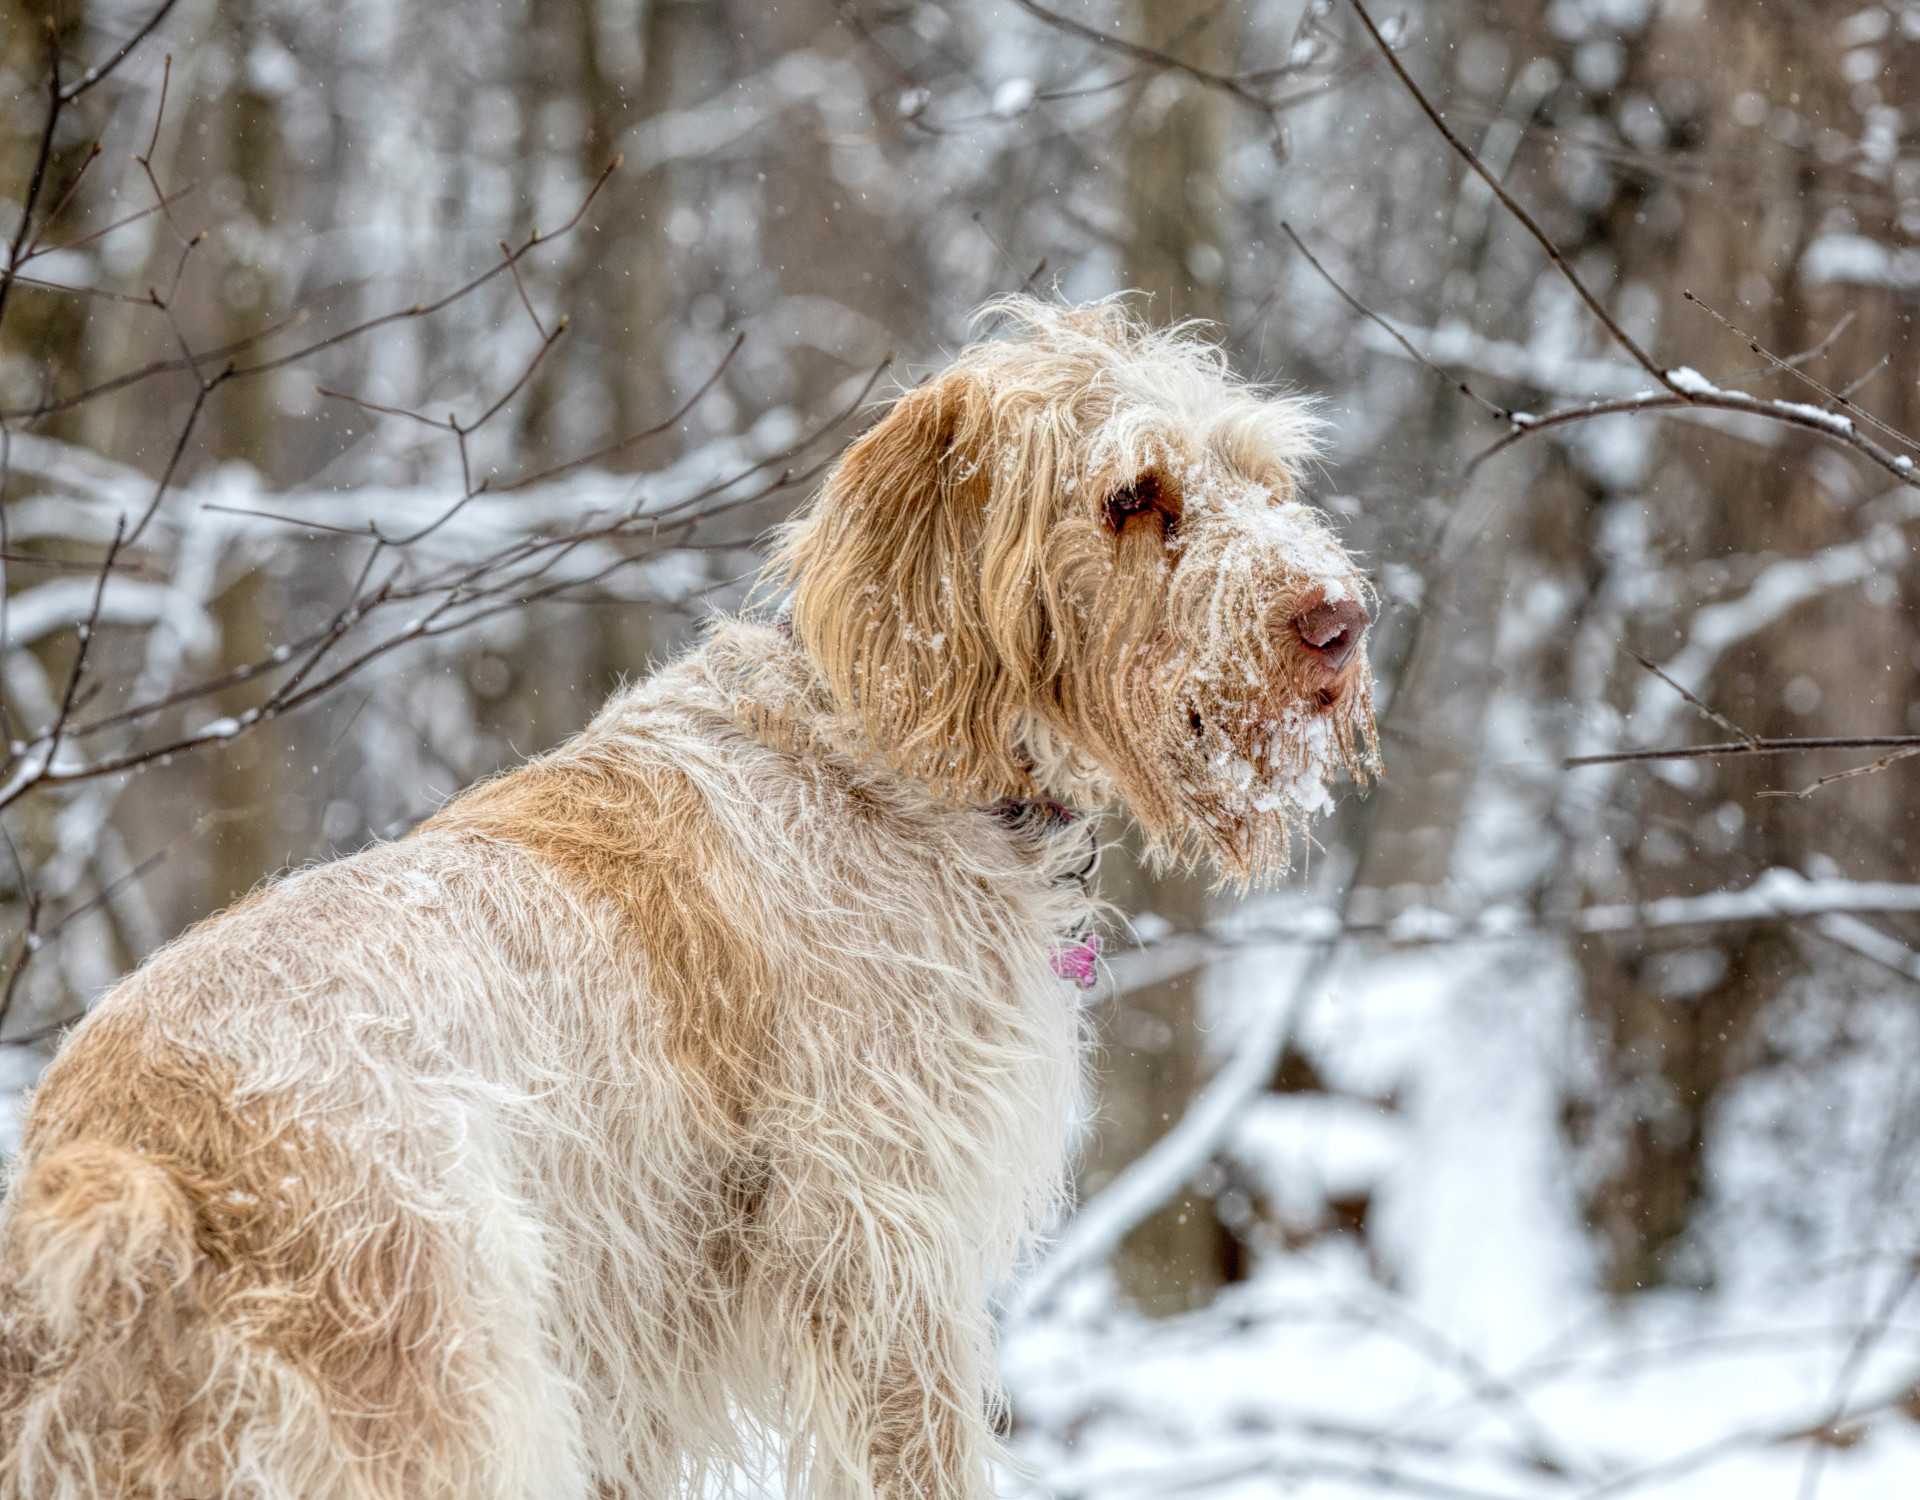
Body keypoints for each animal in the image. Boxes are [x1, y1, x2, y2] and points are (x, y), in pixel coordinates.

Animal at [0, 303, 1382, 1498]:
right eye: (1133, 497)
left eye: (1260, 476)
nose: (1341, 621)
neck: (897, 755)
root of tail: (121, 1160)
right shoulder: (882, 1258)